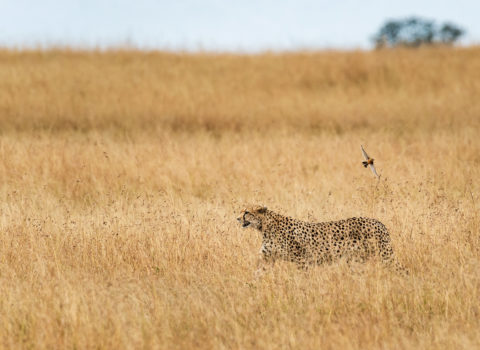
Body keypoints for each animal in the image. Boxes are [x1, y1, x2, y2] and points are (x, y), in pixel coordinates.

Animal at [236, 206, 404, 272]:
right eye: (241, 211)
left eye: (247, 212)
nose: (237, 218)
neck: (264, 226)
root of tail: (379, 222)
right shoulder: (266, 258)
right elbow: (257, 274)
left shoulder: (301, 260)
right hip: (357, 259)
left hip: (385, 255)